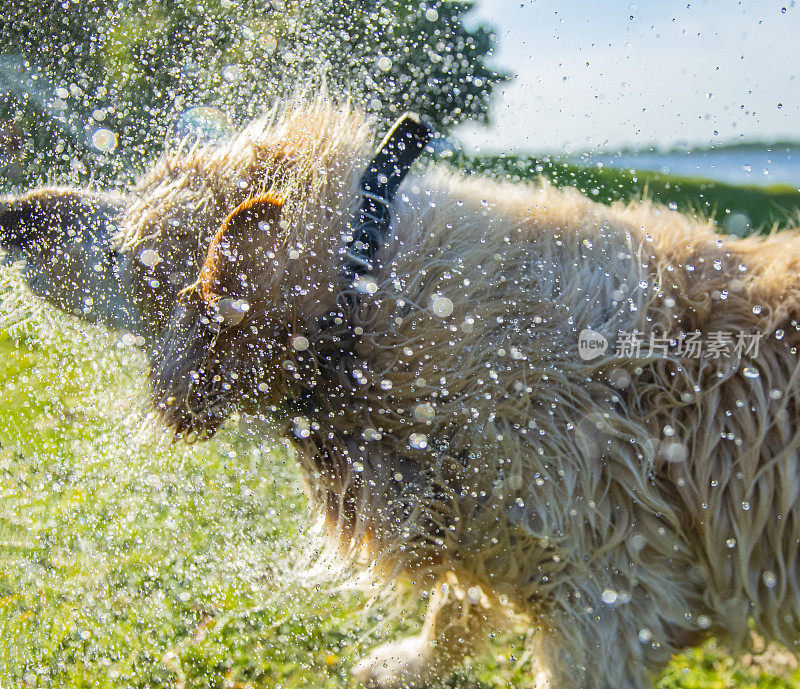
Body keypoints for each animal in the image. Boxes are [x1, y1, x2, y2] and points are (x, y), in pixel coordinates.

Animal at [1, 98, 800, 688]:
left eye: (129, 248)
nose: (15, 211)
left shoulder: (611, 595)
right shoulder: (487, 516)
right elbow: (455, 604)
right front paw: (410, 663)